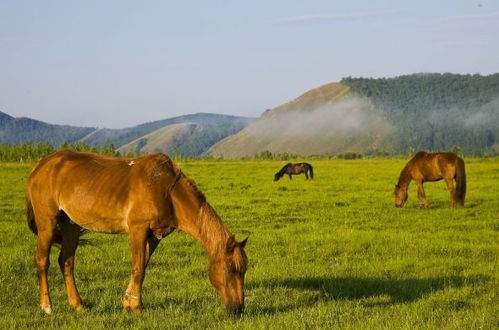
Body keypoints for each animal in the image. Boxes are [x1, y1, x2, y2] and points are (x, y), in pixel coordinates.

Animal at [25, 150, 248, 318]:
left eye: (243, 271)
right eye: (231, 270)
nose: (238, 310)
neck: (167, 190)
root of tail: (40, 166)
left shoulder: (154, 236)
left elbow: (143, 268)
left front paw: (128, 303)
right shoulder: (138, 230)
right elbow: (138, 268)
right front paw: (136, 307)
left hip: (70, 225)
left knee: (66, 262)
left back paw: (78, 305)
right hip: (47, 223)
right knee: (42, 261)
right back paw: (47, 307)